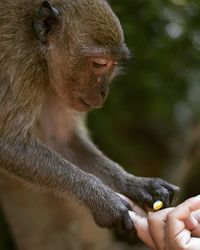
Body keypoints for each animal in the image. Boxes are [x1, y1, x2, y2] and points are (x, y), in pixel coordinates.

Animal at [0, 0, 178, 234]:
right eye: (100, 63)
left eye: (113, 64)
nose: (104, 92)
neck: (39, 48)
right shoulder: (21, 64)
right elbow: (8, 142)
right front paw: (100, 199)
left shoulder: (55, 81)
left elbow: (60, 139)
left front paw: (135, 183)